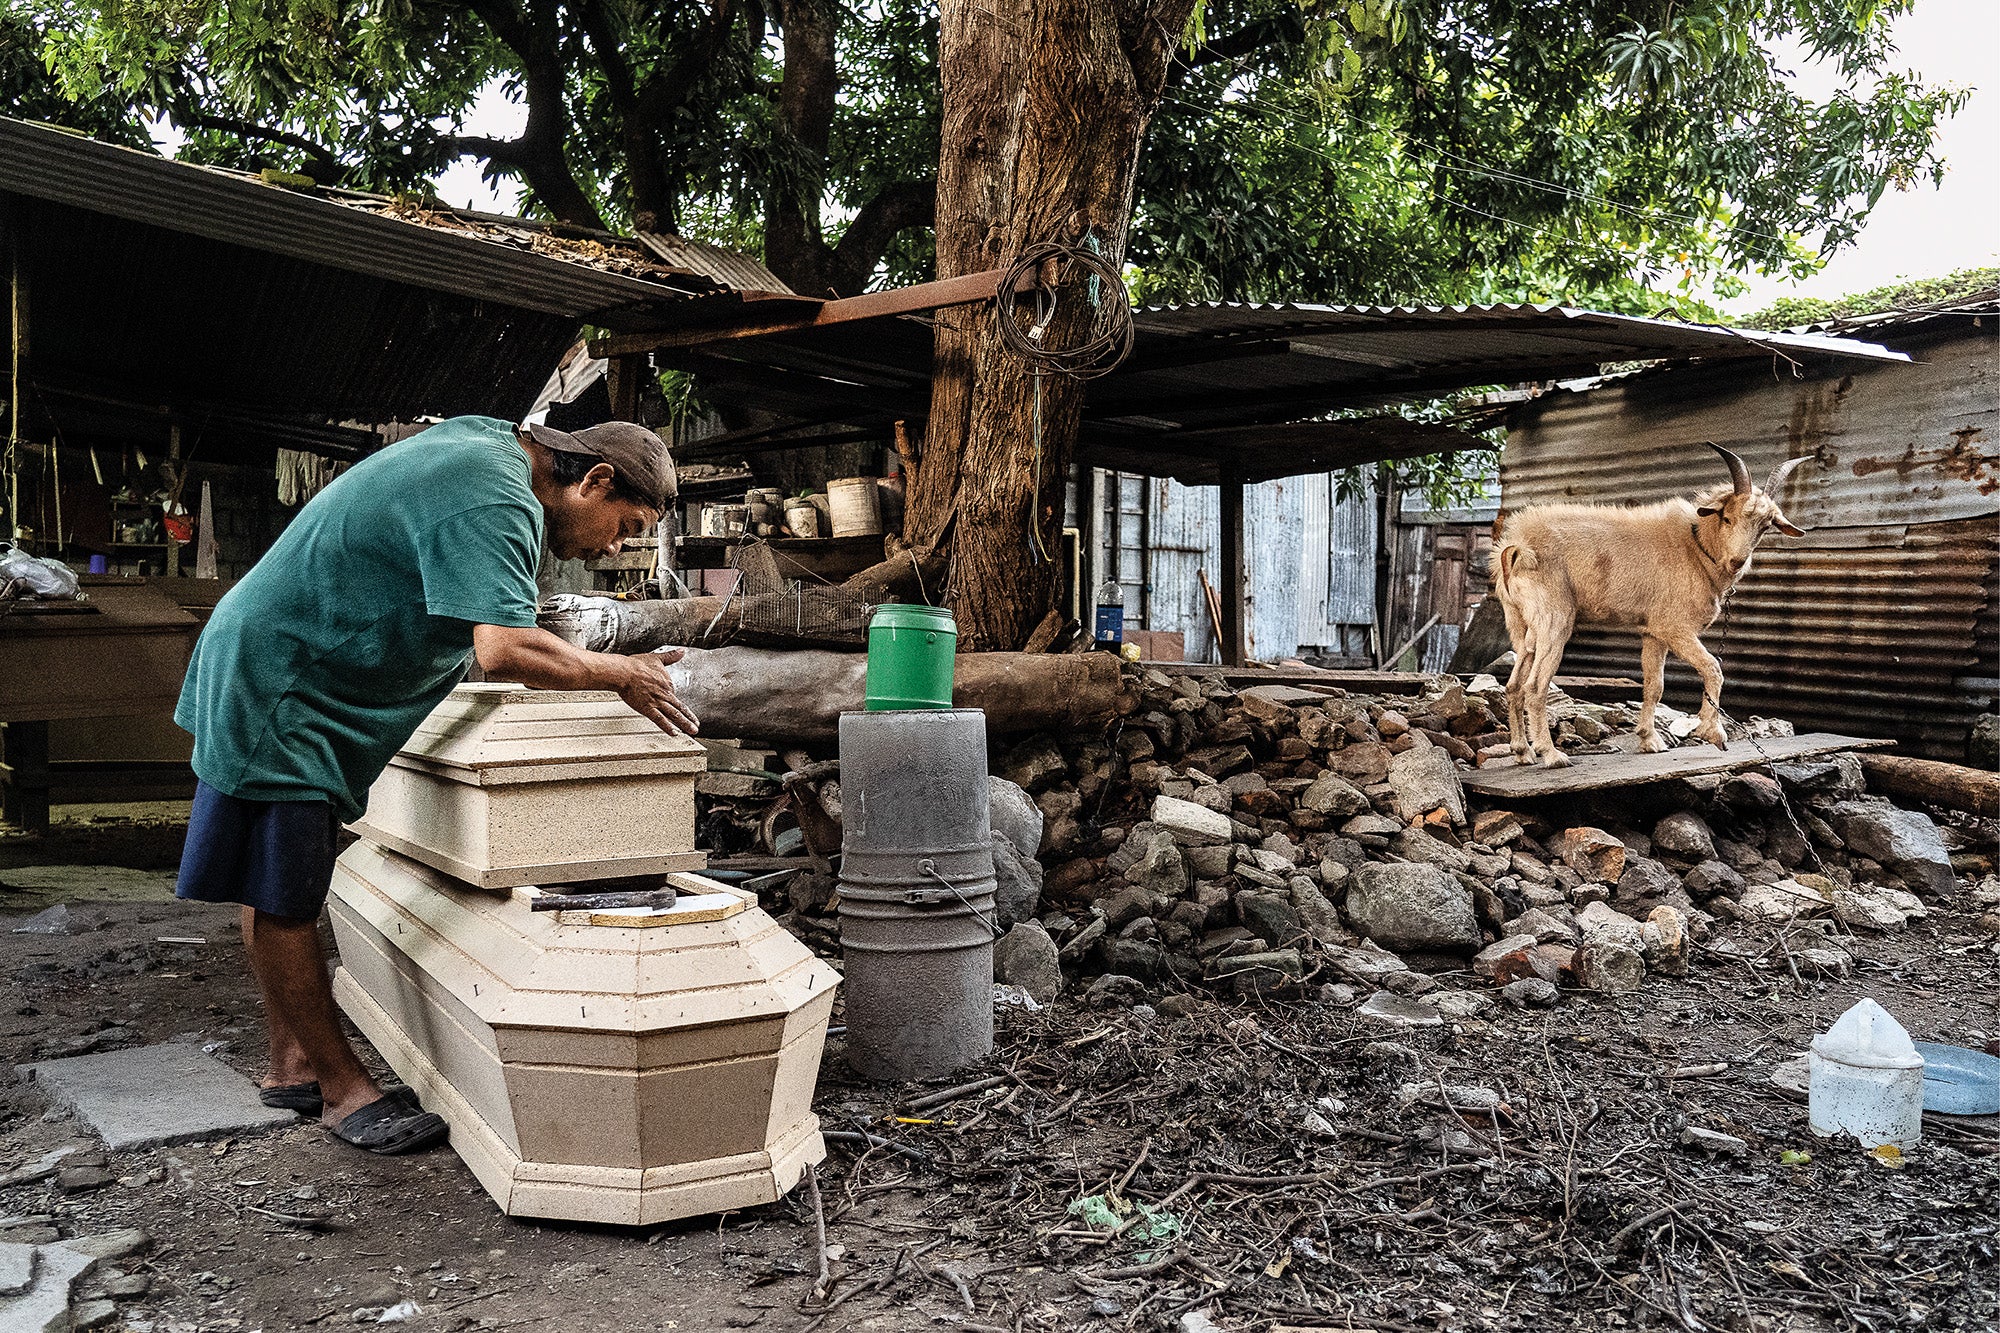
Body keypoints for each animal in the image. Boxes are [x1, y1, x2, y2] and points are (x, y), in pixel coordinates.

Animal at [1488, 440, 1816, 764]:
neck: (1695, 547)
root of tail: (1515, 547)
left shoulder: (1653, 631)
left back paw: (1523, 751)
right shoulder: (1675, 627)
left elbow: (1654, 685)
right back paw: (1552, 754)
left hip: (1522, 624)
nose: (1737, 561)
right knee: (1535, 686)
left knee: (1514, 685)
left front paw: (1649, 740)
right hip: (1554, 620)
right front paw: (1714, 733)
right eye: (1727, 517)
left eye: (1765, 526)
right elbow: (1713, 668)